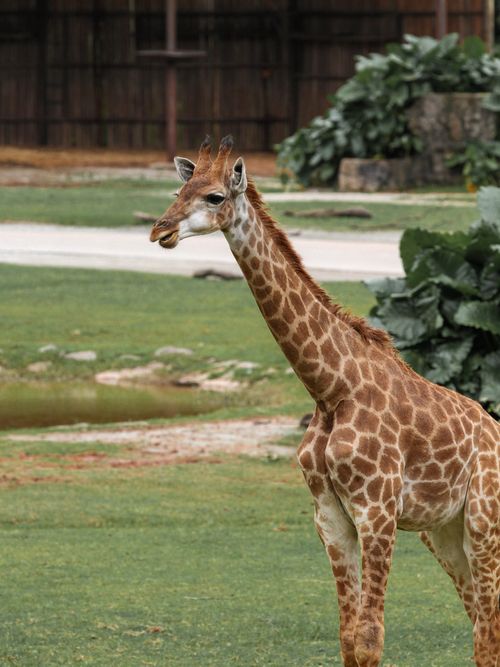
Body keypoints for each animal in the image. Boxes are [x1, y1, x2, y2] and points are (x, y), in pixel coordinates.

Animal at [150, 136, 500, 667]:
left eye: (214, 196)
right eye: (178, 190)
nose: (160, 230)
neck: (332, 389)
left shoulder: (377, 511)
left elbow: (370, 638)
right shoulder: (331, 518)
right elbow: (349, 639)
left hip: (483, 521)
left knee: (488, 629)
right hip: (444, 532)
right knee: (482, 627)